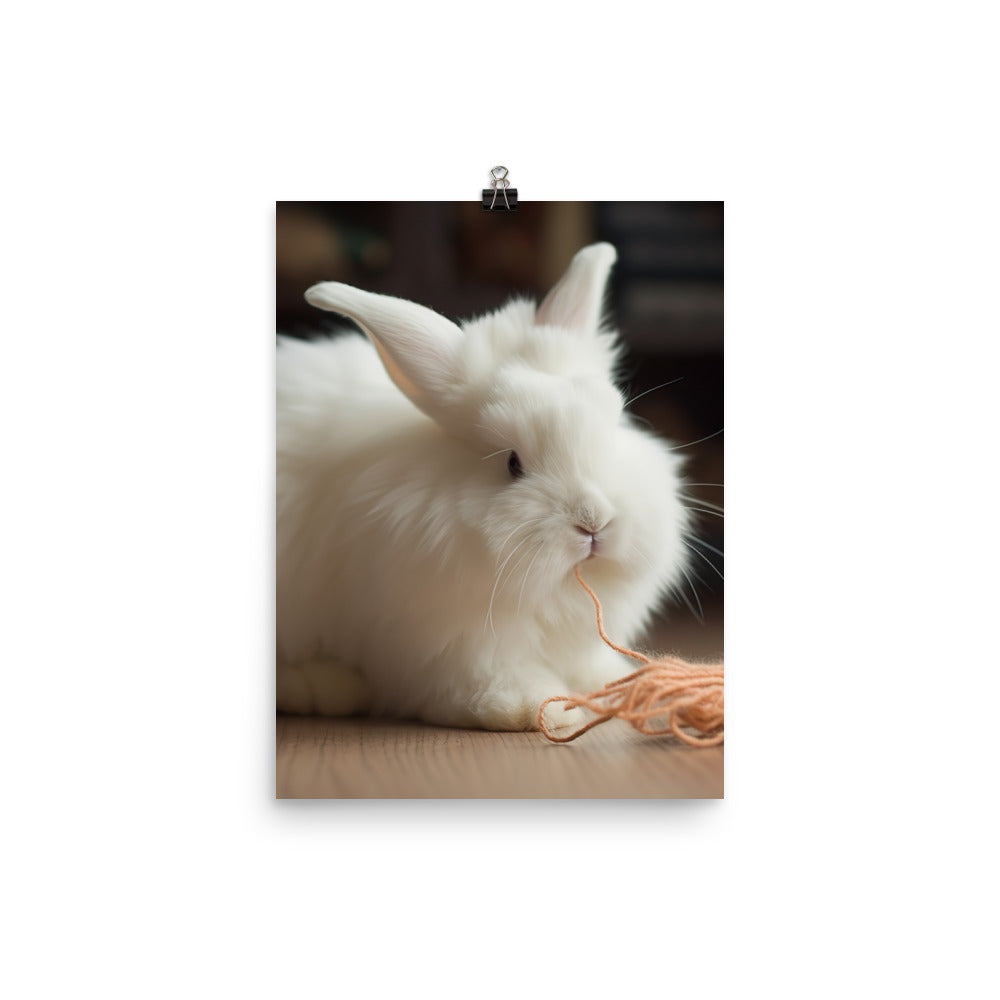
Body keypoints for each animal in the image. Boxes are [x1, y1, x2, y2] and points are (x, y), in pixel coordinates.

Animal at [276, 243, 692, 731]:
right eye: (512, 463)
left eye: (613, 427)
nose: (594, 522)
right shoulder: (449, 644)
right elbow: (483, 684)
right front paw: (539, 707)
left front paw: (621, 686)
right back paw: (323, 687)